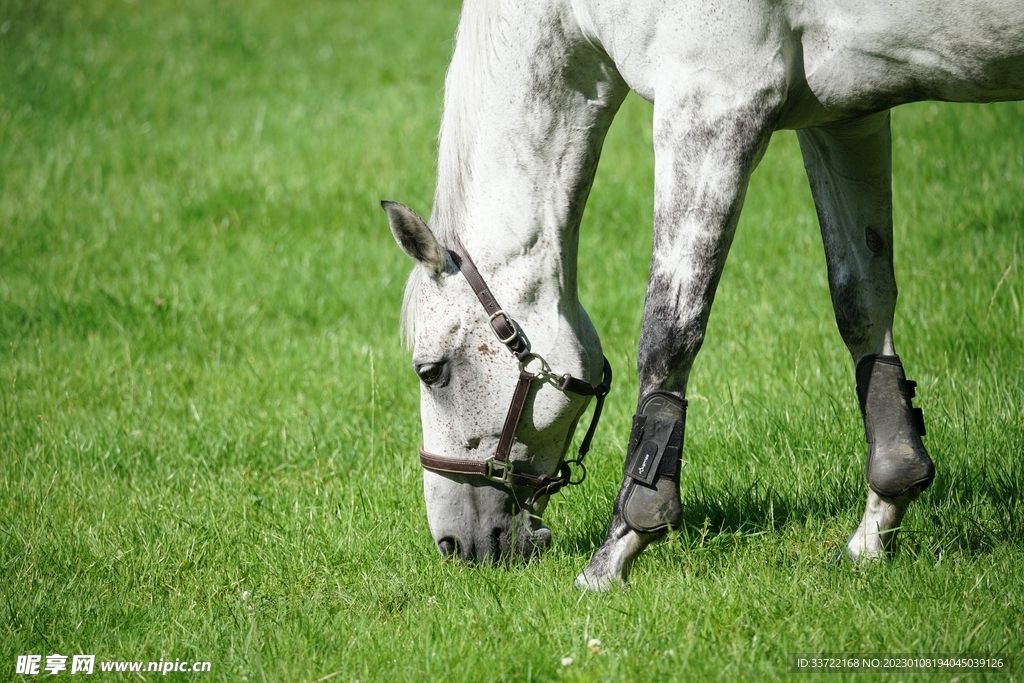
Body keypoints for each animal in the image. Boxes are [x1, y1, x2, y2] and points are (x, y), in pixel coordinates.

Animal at [382, 0, 1023, 590]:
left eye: (431, 372)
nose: (452, 546)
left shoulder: (713, 99)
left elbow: (668, 333)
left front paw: (619, 547)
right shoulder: (848, 114)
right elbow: (861, 302)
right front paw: (876, 528)